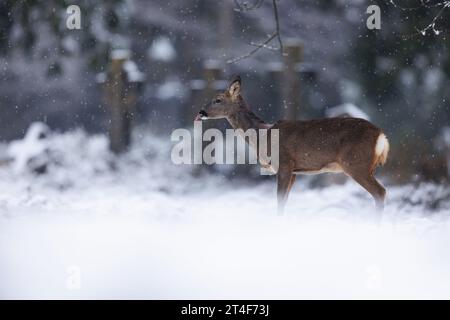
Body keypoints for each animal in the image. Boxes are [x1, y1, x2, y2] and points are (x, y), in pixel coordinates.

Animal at [195, 75, 388, 215]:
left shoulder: (284, 164)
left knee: (380, 192)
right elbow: (284, 202)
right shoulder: (294, 171)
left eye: (218, 99)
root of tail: (382, 136)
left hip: (356, 163)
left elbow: (279, 202)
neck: (263, 136)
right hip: (368, 166)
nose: (201, 112)